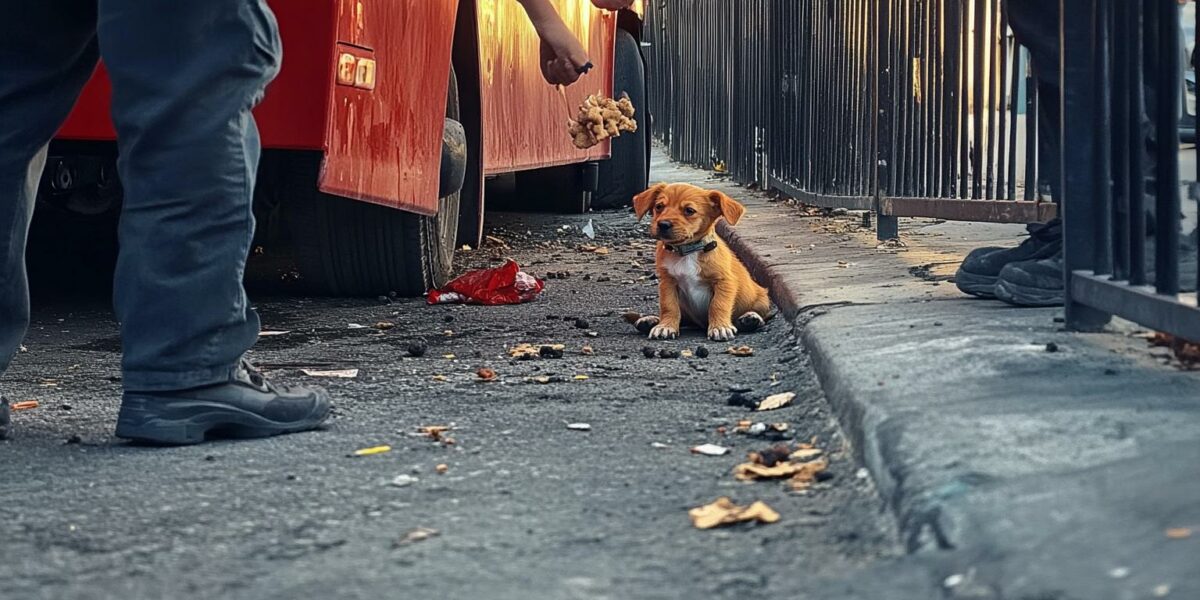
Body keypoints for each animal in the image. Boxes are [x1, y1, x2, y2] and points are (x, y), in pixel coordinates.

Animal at [633, 181, 772, 343]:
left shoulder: (724, 282)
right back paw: (650, 320)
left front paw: (719, 327)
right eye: (659, 206)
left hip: (762, 300)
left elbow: (718, 305)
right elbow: (669, 306)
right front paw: (665, 326)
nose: (663, 224)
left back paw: (750, 318)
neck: (687, 252)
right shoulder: (667, 283)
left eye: (689, 210)